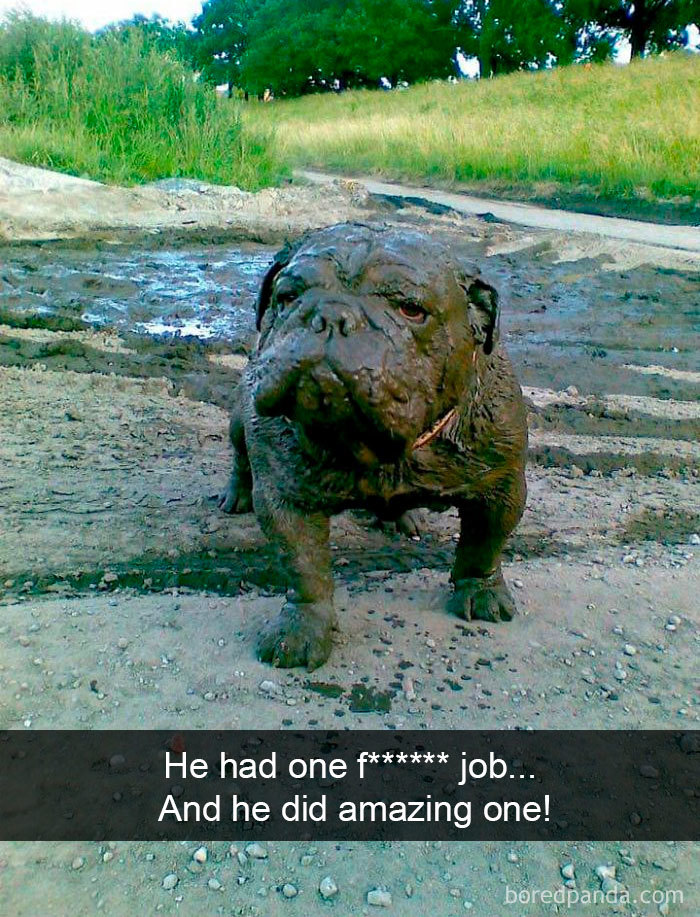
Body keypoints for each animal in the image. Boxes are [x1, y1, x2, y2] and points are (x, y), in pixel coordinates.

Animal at [219, 222, 524, 664]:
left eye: (411, 310)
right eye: (287, 297)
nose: (331, 314)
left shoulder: (500, 488)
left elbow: (484, 545)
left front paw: (482, 592)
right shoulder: (285, 497)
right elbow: (303, 566)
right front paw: (302, 630)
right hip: (240, 418)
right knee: (241, 456)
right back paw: (237, 494)